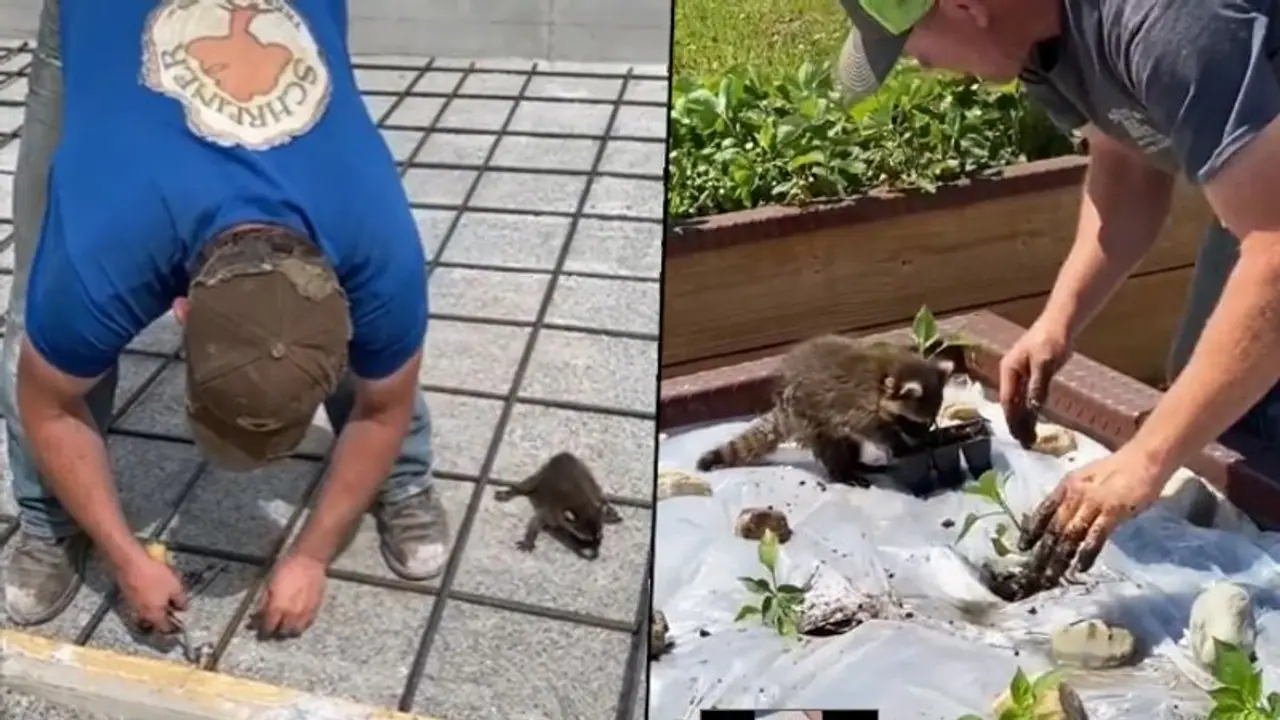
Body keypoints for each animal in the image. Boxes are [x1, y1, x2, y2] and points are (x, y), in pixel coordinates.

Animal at [695, 335, 954, 485]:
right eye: (913, 422)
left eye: (930, 421)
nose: (924, 439)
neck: (890, 371)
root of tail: (782, 406)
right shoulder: (858, 406)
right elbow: (872, 430)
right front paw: (897, 443)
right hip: (808, 416)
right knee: (831, 446)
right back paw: (843, 471)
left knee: (848, 442)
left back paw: (856, 463)